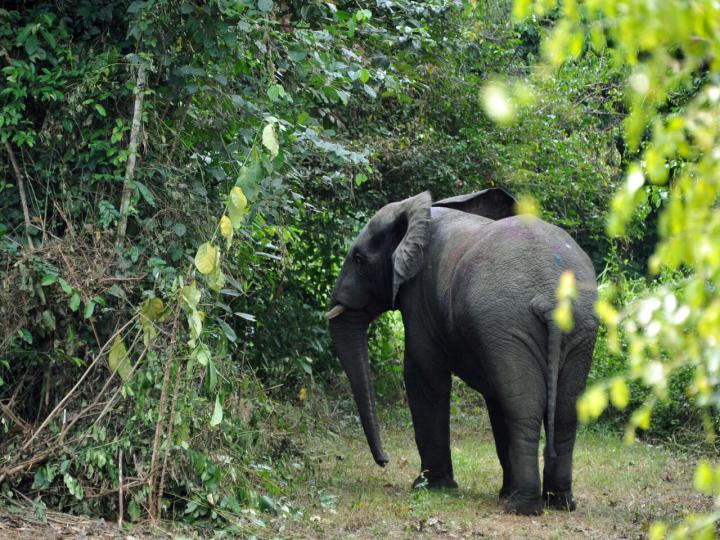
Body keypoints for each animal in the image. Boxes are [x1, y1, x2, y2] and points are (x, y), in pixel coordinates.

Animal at [324, 189, 596, 516]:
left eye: (359, 259)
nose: (384, 461)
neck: (420, 211)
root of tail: (551, 298)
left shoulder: (421, 297)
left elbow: (423, 375)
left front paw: (429, 488)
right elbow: (495, 397)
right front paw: (499, 491)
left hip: (511, 322)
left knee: (524, 408)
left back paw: (522, 507)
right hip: (575, 328)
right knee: (564, 410)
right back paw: (558, 503)